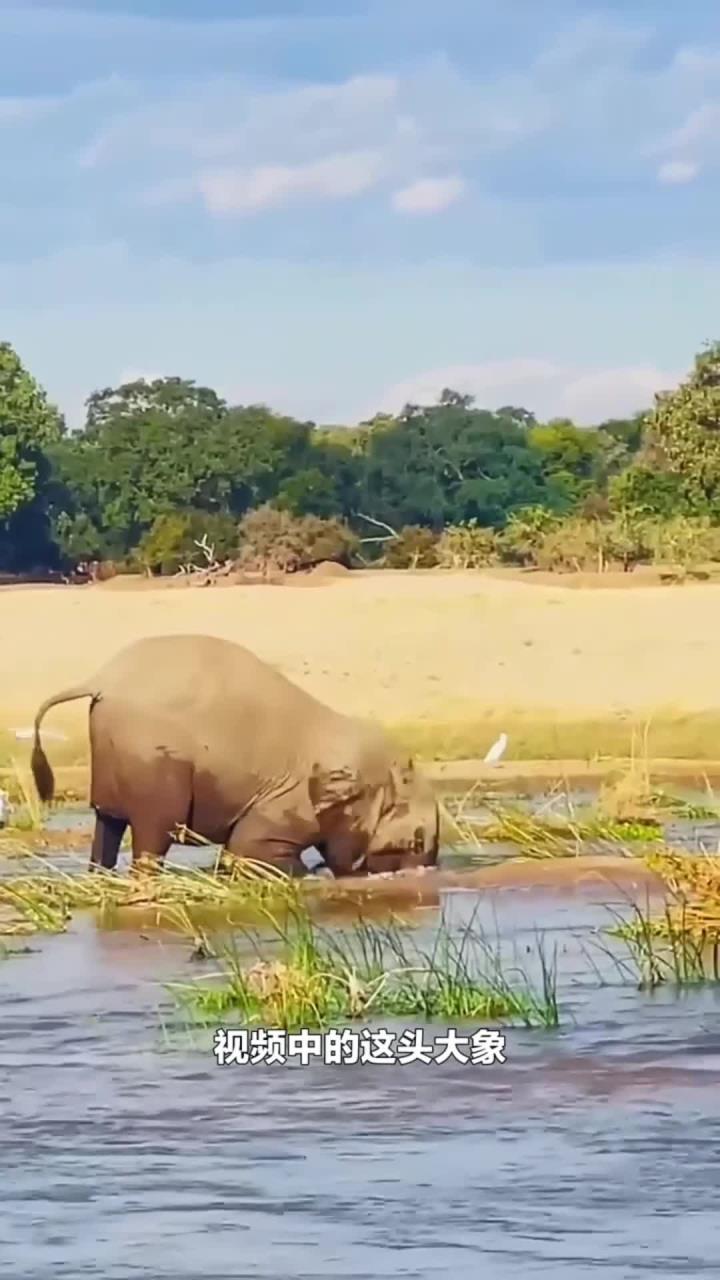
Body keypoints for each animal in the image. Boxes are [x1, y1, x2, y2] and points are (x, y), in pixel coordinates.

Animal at [30, 633, 440, 878]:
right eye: (416, 842)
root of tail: (101, 680)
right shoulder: (288, 802)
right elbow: (248, 851)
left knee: (107, 824)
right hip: (151, 757)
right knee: (152, 834)